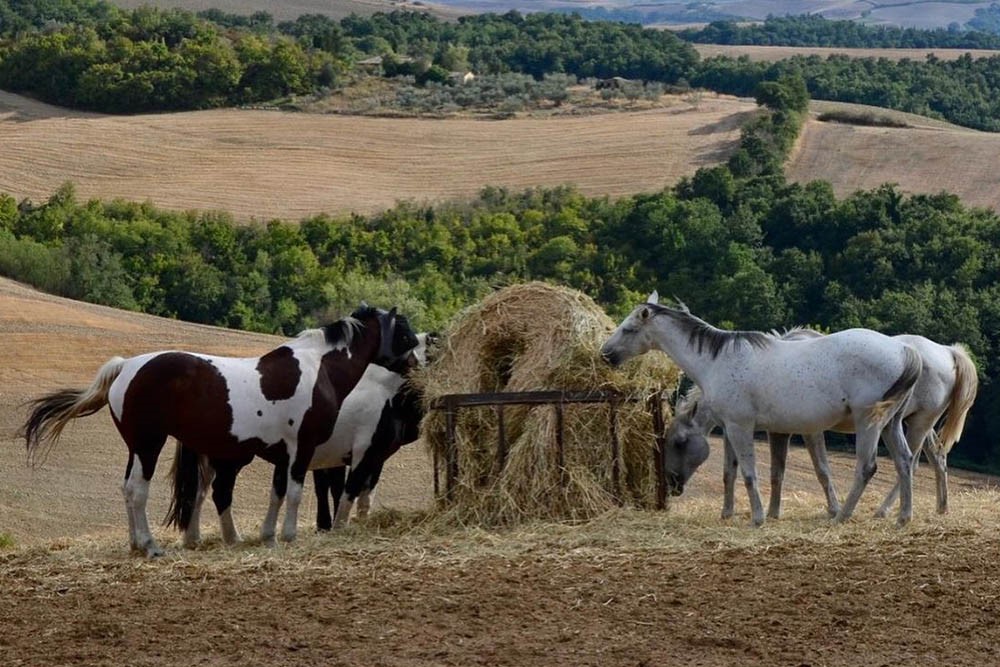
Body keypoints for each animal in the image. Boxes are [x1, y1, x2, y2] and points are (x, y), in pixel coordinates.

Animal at [20, 306, 418, 556]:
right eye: (406, 334)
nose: (414, 369)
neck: (317, 368)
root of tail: (126, 367)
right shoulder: (302, 450)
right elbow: (295, 494)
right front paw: (289, 536)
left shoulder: (282, 455)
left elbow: (276, 494)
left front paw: (268, 536)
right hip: (149, 445)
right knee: (138, 491)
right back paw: (150, 546)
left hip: (137, 448)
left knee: (128, 489)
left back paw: (136, 543)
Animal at [600, 294, 920, 528]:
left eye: (629, 329)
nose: (605, 354)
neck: (716, 361)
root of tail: (904, 350)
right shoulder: (731, 429)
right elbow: (731, 472)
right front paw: (728, 513)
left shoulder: (741, 428)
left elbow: (749, 473)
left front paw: (757, 518)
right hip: (890, 425)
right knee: (905, 462)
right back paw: (903, 518)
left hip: (868, 424)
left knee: (866, 468)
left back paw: (842, 516)